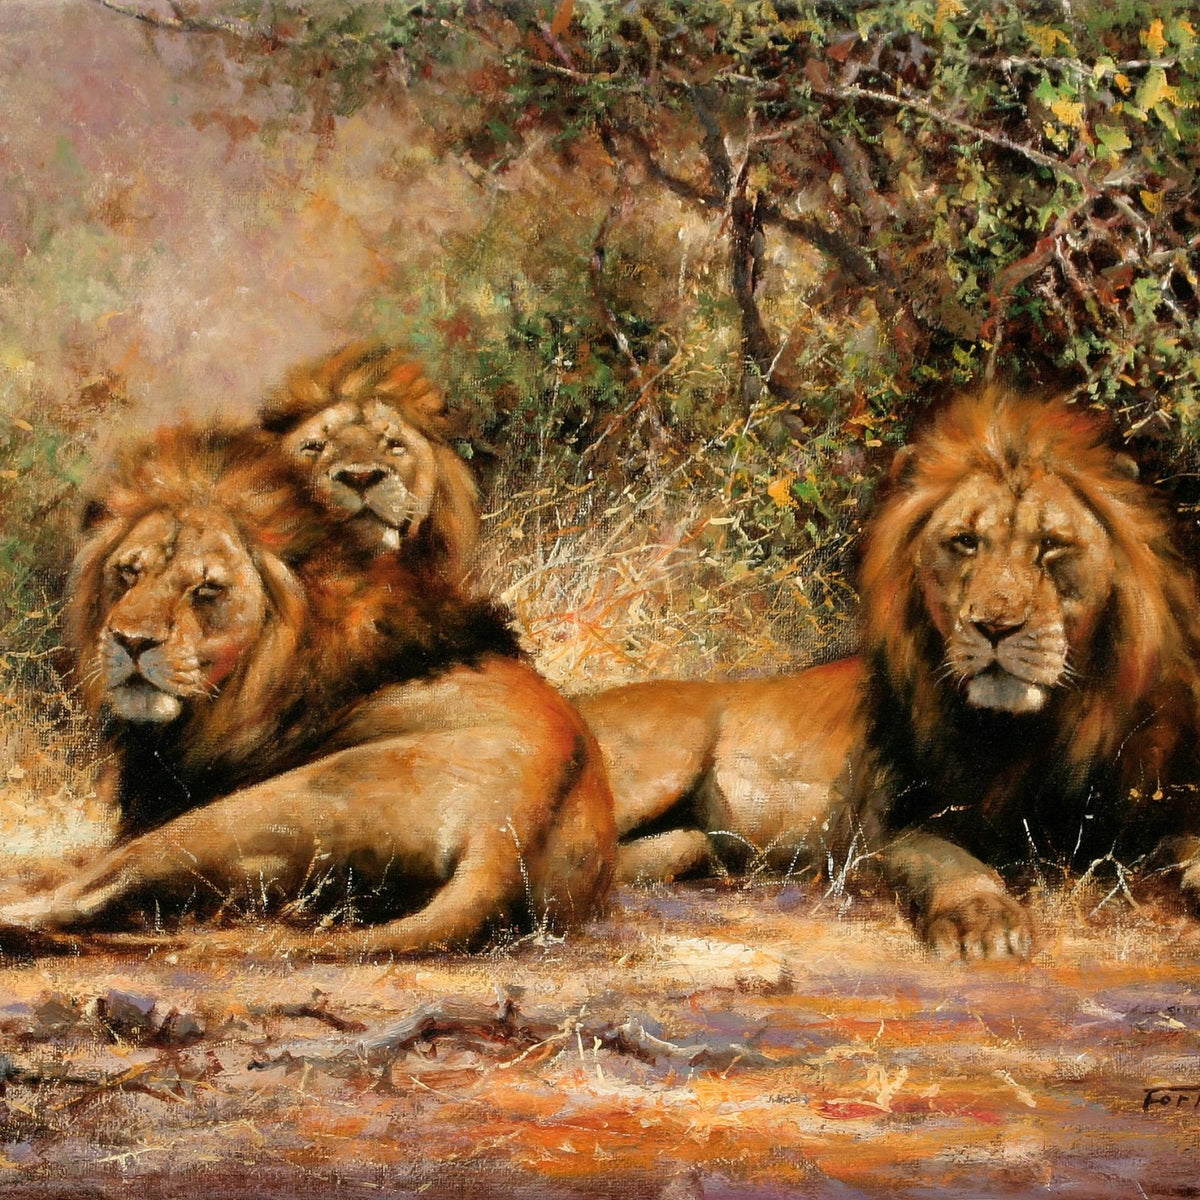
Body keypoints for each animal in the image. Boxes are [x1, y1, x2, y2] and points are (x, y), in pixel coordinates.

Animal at [0, 425, 615, 957]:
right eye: (128, 573)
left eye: (206, 590)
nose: (130, 641)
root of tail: (506, 836)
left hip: (254, 808)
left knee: (85, 895)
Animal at [579, 386, 1200, 959]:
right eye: (965, 542)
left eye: (1051, 546)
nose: (994, 626)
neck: (1026, 732)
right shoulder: (885, 830)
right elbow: (952, 862)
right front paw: (983, 922)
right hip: (659, 762)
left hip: (685, 839)